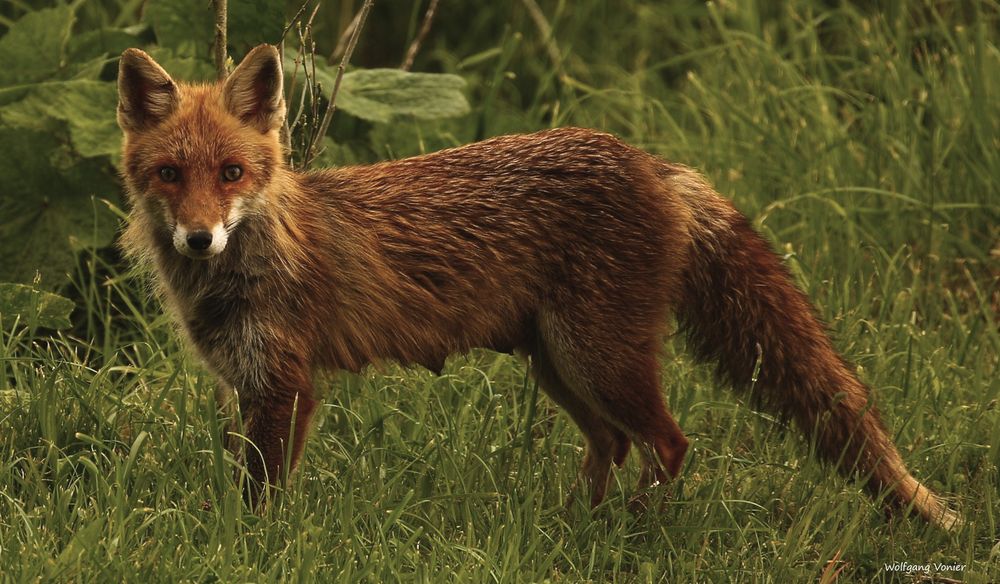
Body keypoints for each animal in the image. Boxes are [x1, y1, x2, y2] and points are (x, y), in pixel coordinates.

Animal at [117, 44, 960, 528]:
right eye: (170, 174)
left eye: (232, 173)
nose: (199, 236)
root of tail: (651, 162)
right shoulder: (245, 382)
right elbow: (242, 482)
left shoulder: (287, 383)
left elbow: (262, 500)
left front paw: (254, 548)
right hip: (559, 363)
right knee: (614, 444)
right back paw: (574, 529)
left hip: (599, 360)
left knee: (669, 442)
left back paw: (633, 534)